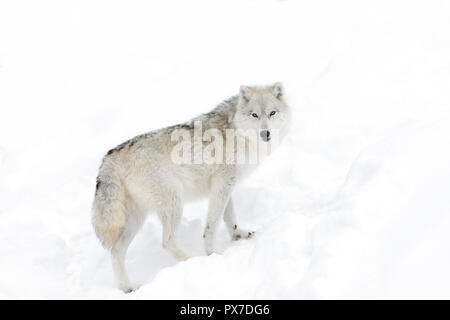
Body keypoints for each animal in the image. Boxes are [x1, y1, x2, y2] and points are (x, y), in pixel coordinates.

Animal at [92, 83, 292, 292]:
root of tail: (108, 159)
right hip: (174, 203)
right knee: (167, 242)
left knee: (116, 251)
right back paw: (193, 260)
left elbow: (230, 217)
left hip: (135, 219)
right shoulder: (223, 184)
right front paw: (213, 254)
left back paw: (128, 287)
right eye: (254, 115)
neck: (236, 131)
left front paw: (238, 235)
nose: (265, 134)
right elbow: (212, 225)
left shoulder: (225, 185)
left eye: (272, 113)